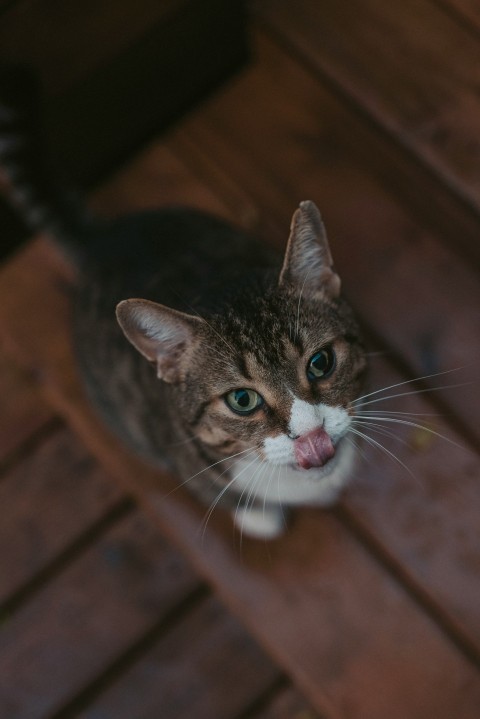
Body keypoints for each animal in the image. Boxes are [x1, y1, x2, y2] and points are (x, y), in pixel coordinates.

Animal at [0, 69, 368, 540]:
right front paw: (259, 515)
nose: (311, 435)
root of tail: (104, 238)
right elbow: (226, 494)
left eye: (321, 362)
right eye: (242, 400)